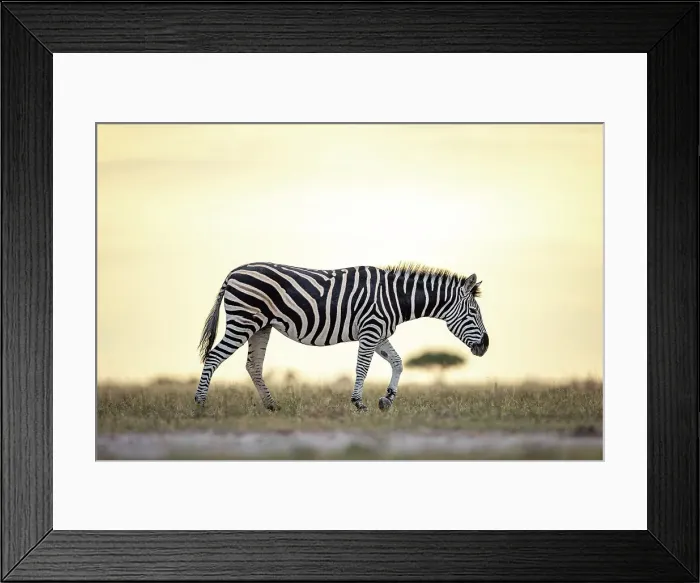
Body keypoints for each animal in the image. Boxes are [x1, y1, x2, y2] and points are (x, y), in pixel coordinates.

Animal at [195, 262, 489, 411]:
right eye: (474, 311)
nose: (486, 346)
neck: (396, 297)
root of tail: (234, 272)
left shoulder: (380, 334)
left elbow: (398, 363)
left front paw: (387, 399)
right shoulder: (370, 330)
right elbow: (362, 369)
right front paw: (358, 403)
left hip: (260, 326)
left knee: (253, 365)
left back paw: (272, 405)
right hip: (243, 320)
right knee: (214, 357)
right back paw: (200, 404)